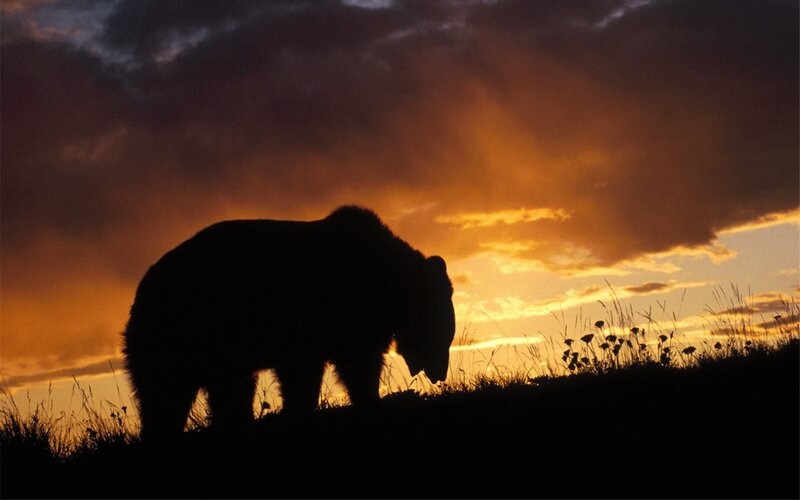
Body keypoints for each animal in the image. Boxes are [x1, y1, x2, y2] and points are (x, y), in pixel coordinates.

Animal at [122, 206, 456, 439]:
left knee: (215, 392)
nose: (440, 372)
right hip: (185, 331)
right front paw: (369, 401)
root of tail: (143, 289)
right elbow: (350, 366)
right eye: (442, 333)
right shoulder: (328, 315)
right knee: (167, 394)